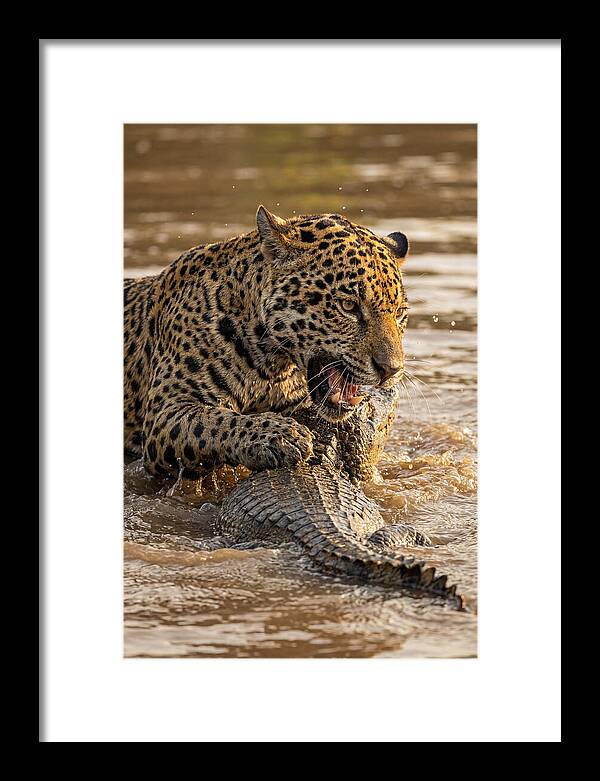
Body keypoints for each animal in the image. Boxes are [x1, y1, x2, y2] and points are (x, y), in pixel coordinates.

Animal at [124, 206, 410, 478]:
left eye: (399, 313)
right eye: (348, 306)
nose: (391, 370)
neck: (272, 365)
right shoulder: (167, 411)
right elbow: (214, 421)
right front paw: (281, 435)